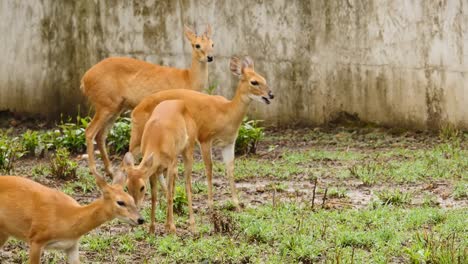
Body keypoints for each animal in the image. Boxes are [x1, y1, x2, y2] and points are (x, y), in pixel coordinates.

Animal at [0, 170, 143, 262]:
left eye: (132, 199)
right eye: (120, 202)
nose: (140, 219)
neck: (67, 219)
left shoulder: (72, 245)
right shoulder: (36, 238)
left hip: (4, 232)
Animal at [80, 25, 214, 177]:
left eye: (212, 44)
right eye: (197, 45)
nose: (210, 57)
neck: (188, 79)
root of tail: (84, 80)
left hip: (115, 107)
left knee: (101, 135)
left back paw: (110, 171)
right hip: (105, 104)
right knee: (90, 131)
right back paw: (94, 170)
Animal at [121, 99, 197, 233]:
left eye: (142, 187)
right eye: (127, 187)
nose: (135, 205)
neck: (157, 140)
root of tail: (180, 102)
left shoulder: (171, 163)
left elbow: (170, 195)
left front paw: (173, 228)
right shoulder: (153, 170)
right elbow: (154, 196)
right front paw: (152, 229)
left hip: (188, 150)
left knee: (187, 186)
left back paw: (192, 226)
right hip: (165, 168)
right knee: (169, 188)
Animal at [129, 55, 274, 210]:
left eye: (264, 78)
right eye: (254, 82)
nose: (271, 95)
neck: (226, 113)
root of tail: (135, 111)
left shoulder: (228, 143)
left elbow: (230, 170)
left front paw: (237, 205)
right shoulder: (205, 137)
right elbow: (209, 169)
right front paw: (210, 204)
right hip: (139, 139)